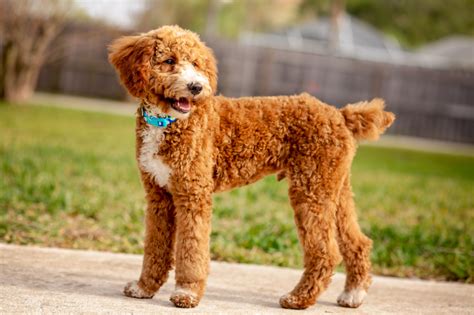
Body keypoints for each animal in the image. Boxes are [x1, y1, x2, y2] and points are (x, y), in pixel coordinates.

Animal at [109, 25, 394, 312]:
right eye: (169, 61)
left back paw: (299, 298)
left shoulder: (193, 195)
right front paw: (145, 287)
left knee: (326, 252)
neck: (168, 121)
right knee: (358, 242)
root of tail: (340, 114)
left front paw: (187, 293)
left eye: (196, 64)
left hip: (310, 190)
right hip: (335, 189)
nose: (197, 87)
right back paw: (353, 293)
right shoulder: (159, 197)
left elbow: (192, 249)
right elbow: (155, 248)